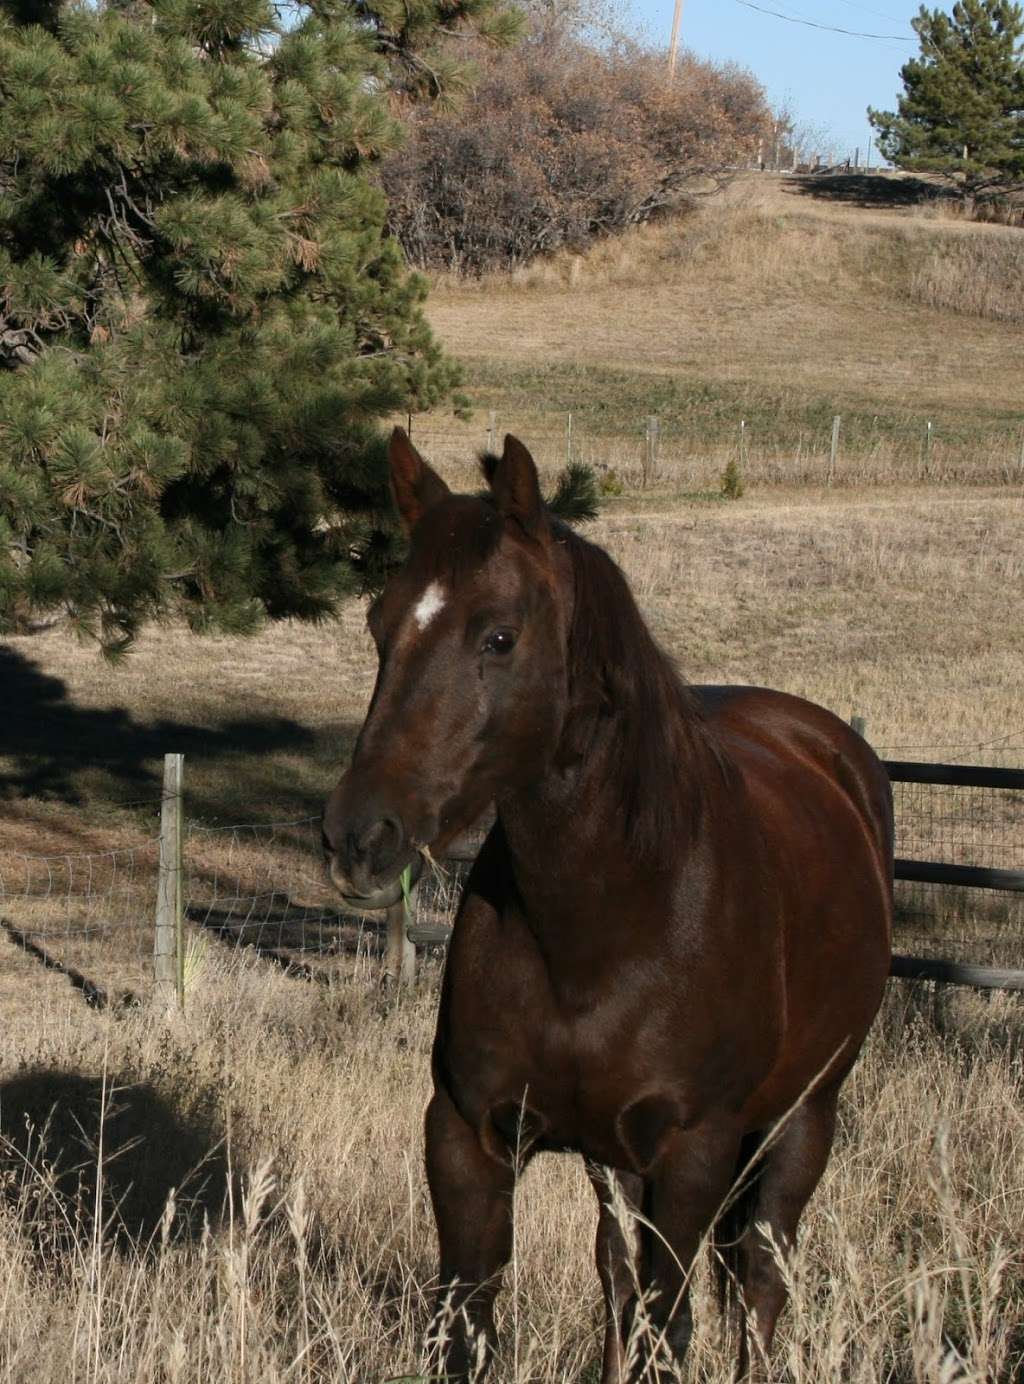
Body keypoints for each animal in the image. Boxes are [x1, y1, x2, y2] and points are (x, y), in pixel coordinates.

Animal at [323, 426, 891, 1378]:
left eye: (499, 636)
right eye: (379, 625)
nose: (359, 837)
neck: (611, 920)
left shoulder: (694, 1152)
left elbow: (672, 1324)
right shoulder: (467, 1135)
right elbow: (470, 1319)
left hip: (802, 1119)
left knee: (759, 1283)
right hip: (613, 1159)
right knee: (621, 1287)